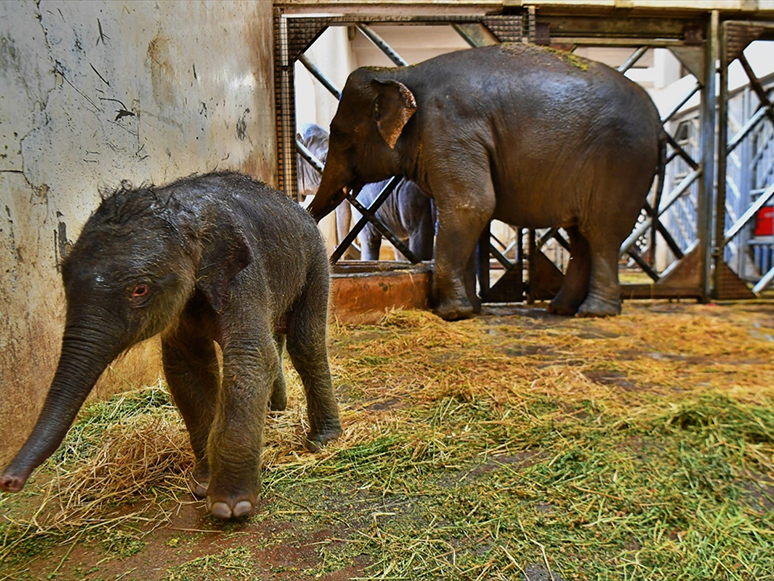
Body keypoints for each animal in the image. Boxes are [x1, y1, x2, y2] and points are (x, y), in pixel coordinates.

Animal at [0, 171, 342, 516]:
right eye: (64, 280)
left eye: (140, 289)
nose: (9, 481)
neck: (182, 210)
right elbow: (187, 368)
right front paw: (202, 485)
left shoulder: (244, 275)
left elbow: (249, 357)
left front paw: (230, 506)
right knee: (276, 337)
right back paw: (274, 412)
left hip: (316, 262)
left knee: (305, 342)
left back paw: (322, 440)